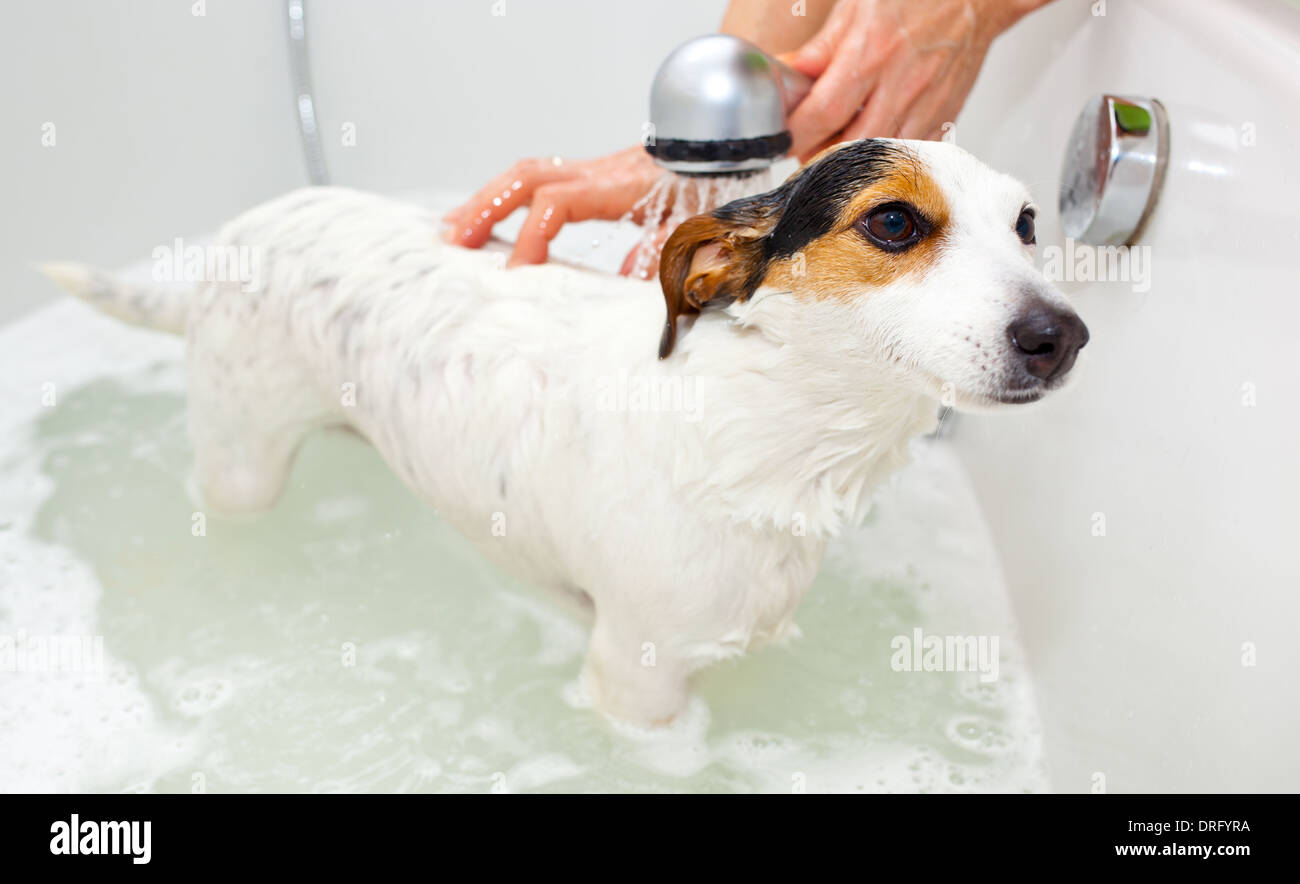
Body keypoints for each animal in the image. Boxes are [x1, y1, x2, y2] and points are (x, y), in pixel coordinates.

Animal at [40, 139, 1086, 722]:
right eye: (895, 222)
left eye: (1027, 223)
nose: (1063, 336)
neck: (760, 431)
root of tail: (238, 231)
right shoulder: (637, 680)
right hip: (240, 464)